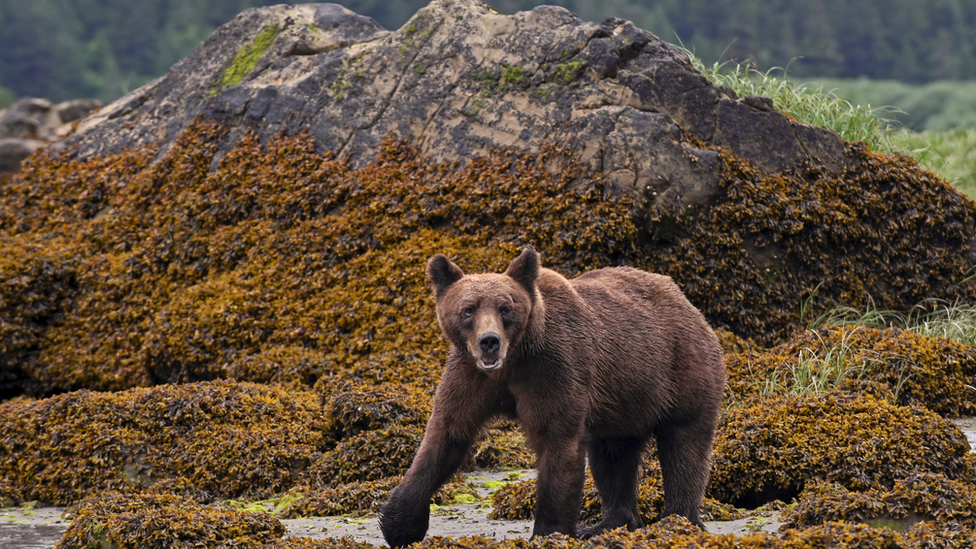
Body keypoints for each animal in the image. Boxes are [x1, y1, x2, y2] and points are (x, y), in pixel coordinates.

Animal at [380, 247, 724, 544]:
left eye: (506, 308)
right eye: (468, 310)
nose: (489, 341)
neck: (513, 362)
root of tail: (687, 303)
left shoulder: (553, 370)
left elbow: (556, 441)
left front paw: (549, 532)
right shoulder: (470, 376)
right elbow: (445, 435)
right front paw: (399, 523)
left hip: (681, 369)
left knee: (683, 446)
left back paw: (678, 521)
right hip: (622, 398)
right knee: (613, 454)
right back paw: (608, 523)